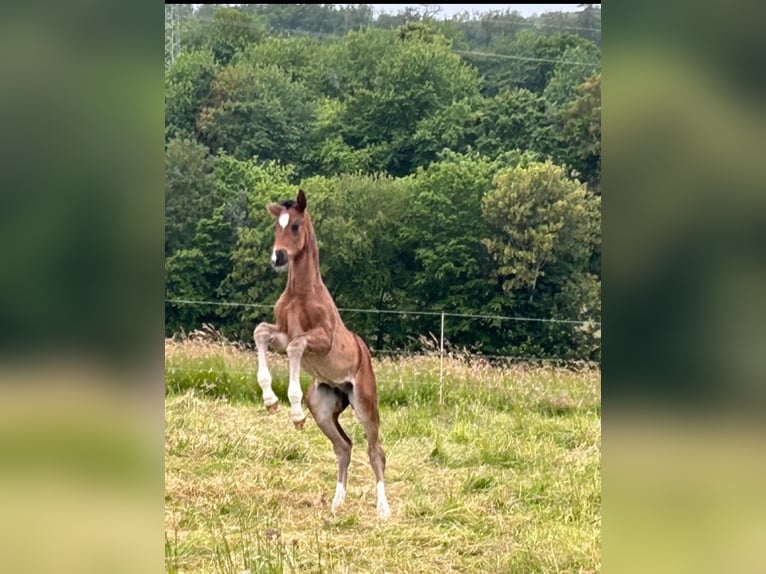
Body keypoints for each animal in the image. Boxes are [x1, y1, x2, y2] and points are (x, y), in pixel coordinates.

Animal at [255, 190, 392, 520]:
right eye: (275, 226)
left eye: (295, 226)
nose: (277, 258)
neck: (300, 293)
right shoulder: (281, 334)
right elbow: (260, 332)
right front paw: (270, 400)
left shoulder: (321, 340)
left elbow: (296, 348)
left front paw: (293, 410)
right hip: (322, 405)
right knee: (344, 446)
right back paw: (337, 502)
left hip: (364, 401)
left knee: (375, 450)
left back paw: (383, 508)